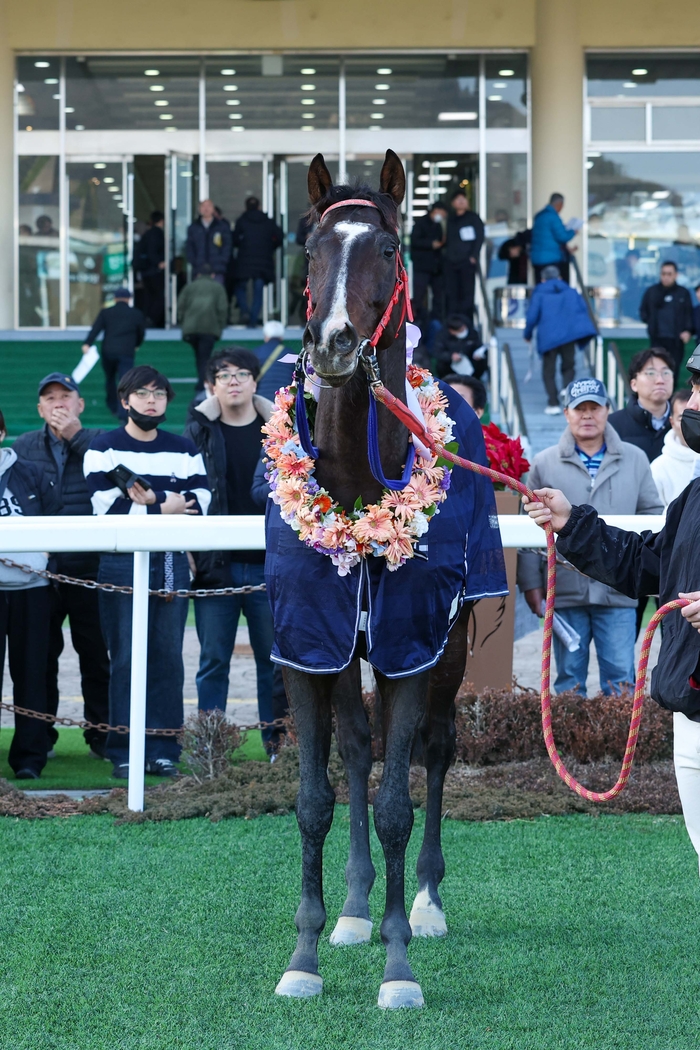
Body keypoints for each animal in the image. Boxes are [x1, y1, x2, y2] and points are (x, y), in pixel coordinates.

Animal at [264, 150, 507, 1009]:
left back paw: (426, 903)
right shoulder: (308, 645)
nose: (336, 343)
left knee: (433, 750)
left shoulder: (412, 643)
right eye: (311, 245)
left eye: (391, 248)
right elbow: (317, 796)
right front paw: (306, 953)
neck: (358, 482)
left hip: (453, 642)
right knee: (359, 750)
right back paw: (356, 909)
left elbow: (401, 801)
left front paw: (400, 966)